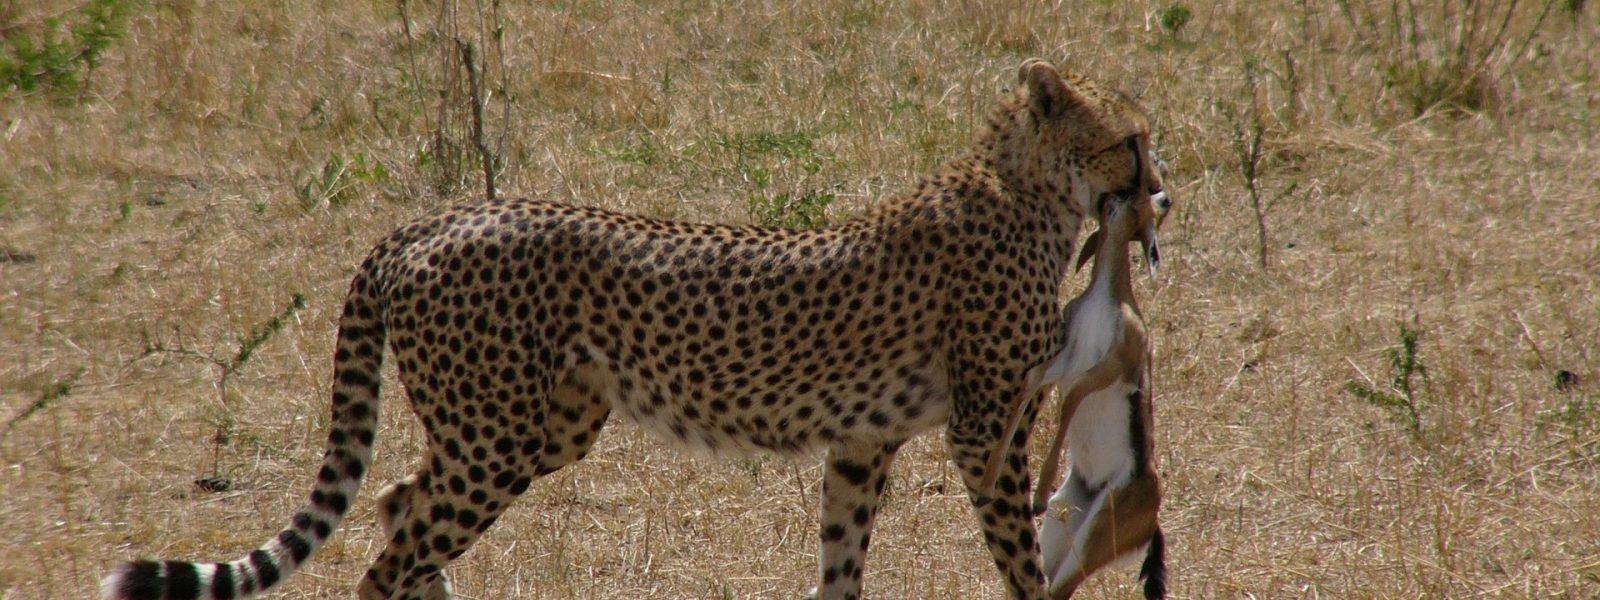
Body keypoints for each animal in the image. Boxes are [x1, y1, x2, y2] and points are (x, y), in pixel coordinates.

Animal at [101, 58, 1170, 600]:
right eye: (1130, 139)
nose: (1158, 192)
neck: (1026, 189)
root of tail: (434, 220)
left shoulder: (863, 443)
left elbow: (842, 557)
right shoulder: (985, 432)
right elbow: (1021, 559)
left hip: (543, 426)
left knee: (401, 503)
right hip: (498, 437)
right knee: (389, 558)